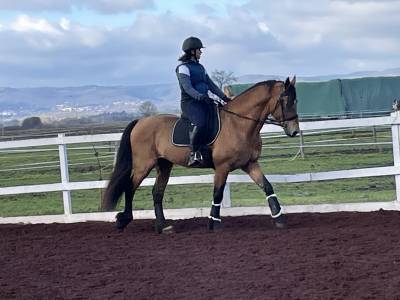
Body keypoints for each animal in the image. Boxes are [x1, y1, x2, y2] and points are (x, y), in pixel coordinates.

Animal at [101, 77, 298, 232]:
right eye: (286, 100)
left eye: (295, 100)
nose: (294, 131)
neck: (238, 124)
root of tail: (140, 121)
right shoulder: (222, 167)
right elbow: (217, 193)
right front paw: (214, 223)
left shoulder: (250, 164)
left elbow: (267, 187)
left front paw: (279, 219)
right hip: (143, 165)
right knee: (130, 187)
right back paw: (124, 220)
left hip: (164, 165)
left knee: (157, 192)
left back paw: (163, 226)